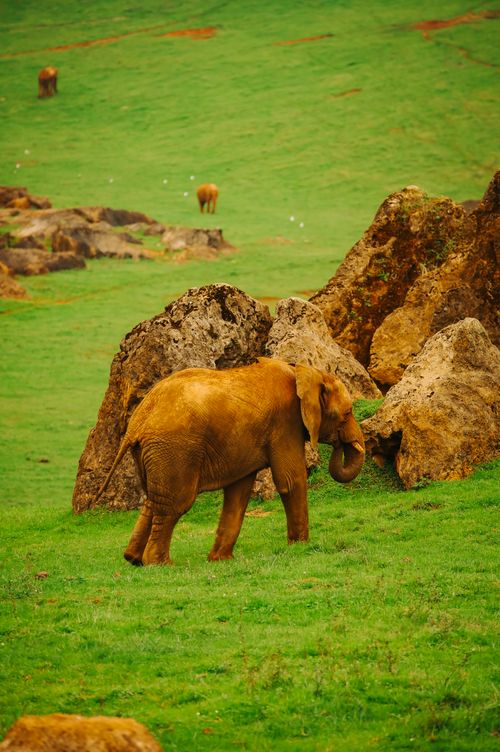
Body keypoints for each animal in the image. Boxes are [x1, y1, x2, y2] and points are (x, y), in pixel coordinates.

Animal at [96, 358, 365, 565]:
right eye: (347, 413)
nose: (340, 444)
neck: (304, 370)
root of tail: (138, 420)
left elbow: (239, 491)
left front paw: (220, 560)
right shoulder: (285, 422)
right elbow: (290, 479)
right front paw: (300, 547)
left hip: (157, 453)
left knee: (155, 500)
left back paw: (133, 559)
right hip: (175, 450)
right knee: (176, 502)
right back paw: (160, 563)